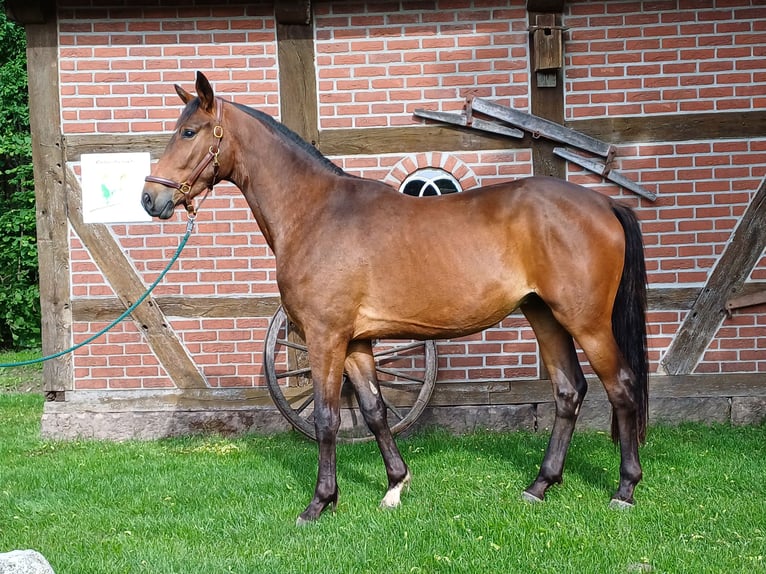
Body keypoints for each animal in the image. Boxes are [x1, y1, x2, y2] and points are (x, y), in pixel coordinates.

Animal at [144, 72, 648, 528]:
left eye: (189, 131)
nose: (150, 198)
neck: (316, 213)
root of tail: (605, 204)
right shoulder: (355, 342)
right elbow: (373, 411)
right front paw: (394, 485)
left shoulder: (325, 338)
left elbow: (327, 418)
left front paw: (320, 503)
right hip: (545, 316)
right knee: (569, 390)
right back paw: (540, 485)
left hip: (586, 322)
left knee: (621, 387)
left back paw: (624, 490)